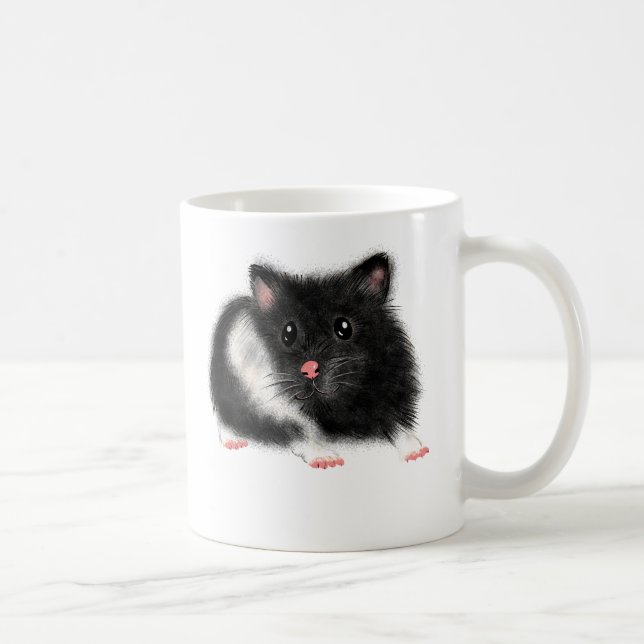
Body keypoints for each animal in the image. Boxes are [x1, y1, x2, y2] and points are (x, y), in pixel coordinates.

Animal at [210, 253, 429, 468]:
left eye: (344, 327)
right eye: (287, 333)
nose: (309, 369)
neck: (335, 404)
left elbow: (397, 425)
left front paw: (418, 452)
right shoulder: (272, 412)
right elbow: (299, 434)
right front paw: (328, 460)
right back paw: (235, 442)